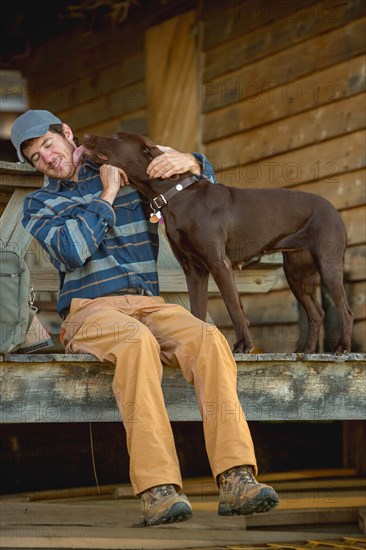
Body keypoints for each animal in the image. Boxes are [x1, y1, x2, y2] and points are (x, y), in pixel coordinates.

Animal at [73, 132, 354, 354]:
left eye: (116, 138)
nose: (84, 135)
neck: (177, 195)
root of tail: (333, 209)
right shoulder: (194, 270)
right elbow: (197, 310)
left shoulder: (218, 263)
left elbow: (234, 306)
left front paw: (243, 345)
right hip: (296, 272)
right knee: (316, 313)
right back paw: (306, 351)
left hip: (328, 265)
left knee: (345, 311)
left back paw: (342, 347)